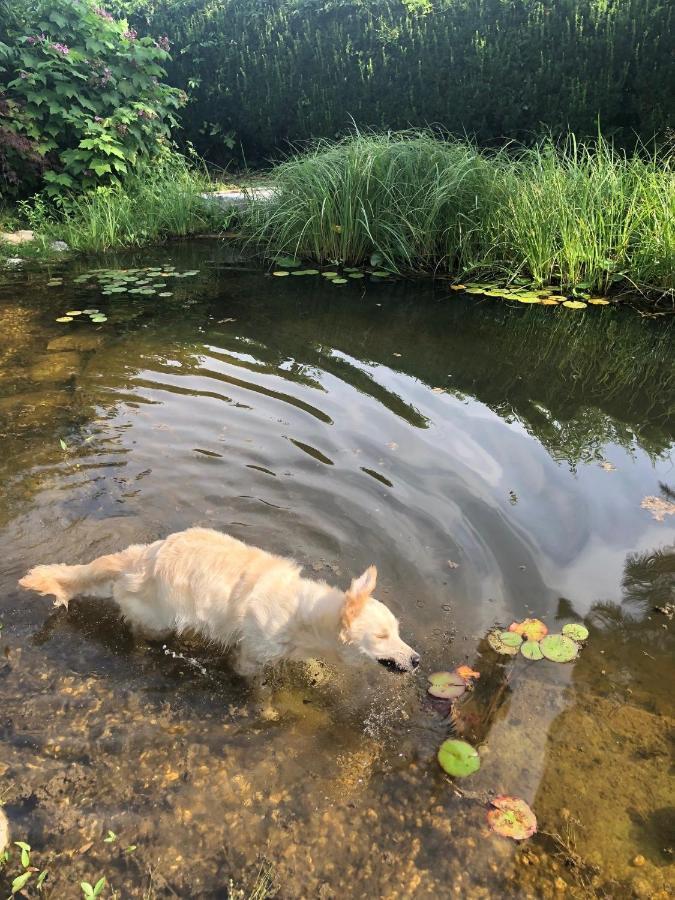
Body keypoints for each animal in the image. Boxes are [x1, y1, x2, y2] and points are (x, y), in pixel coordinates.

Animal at [18, 528, 420, 676]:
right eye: (382, 636)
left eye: (398, 632)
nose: (417, 659)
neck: (302, 615)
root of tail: (141, 557)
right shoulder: (252, 654)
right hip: (157, 618)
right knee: (137, 631)